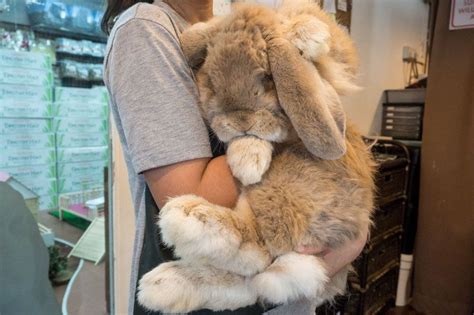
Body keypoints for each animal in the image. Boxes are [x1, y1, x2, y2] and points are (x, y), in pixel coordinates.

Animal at [137, 1, 374, 314]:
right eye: (211, 81)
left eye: (268, 78)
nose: (240, 122)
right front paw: (247, 158)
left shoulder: (338, 62)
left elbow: (323, 38)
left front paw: (309, 36)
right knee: (251, 279)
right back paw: (165, 283)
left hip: (292, 183)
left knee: (260, 252)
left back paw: (189, 222)